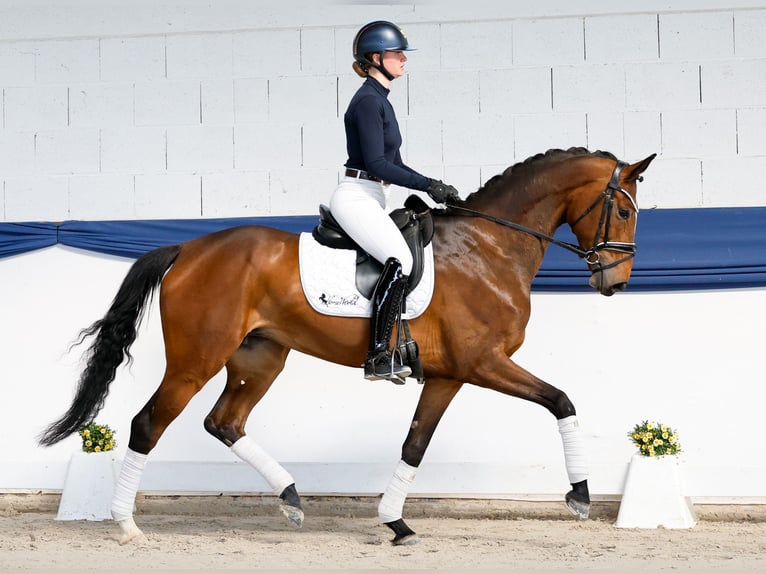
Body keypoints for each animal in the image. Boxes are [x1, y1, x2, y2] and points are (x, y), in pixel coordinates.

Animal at [39, 147, 655, 546]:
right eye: (624, 209)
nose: (616, 282)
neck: (489, 247)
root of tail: (188, 249)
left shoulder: (450, 374)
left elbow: (415, 443)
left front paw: (395, 522)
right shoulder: (485, 363)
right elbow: (561, 401)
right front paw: (580, 495)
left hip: (262, 356)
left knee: (225, 422)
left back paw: (291, 498)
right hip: (197, 359)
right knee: (150, 424)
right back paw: (127, 526)